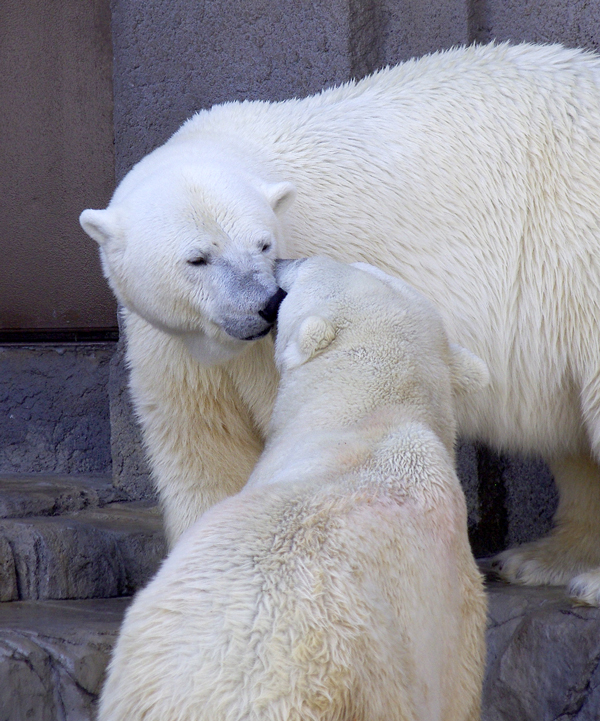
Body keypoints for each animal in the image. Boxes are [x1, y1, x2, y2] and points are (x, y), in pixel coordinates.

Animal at [79, 39, 600, 600]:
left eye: (263, 244)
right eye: (197, 258)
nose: (264, 304)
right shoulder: (172, 344)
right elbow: (202, 443)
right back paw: (544, 559)